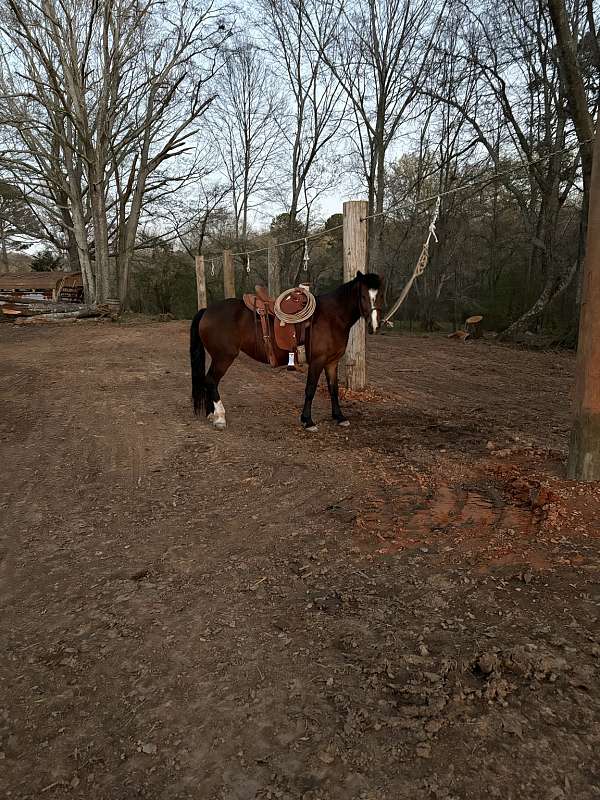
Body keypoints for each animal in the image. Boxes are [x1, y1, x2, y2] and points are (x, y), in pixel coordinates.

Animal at [189, 271, 383, 431]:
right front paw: (308, 421)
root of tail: (207, 310)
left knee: (208, 381)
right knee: (211, 381)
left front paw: (339, 417)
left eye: (379, 295)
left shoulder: (331, 362)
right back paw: (220, 418)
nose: (374, 326)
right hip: (223, 357)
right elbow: (310, 389)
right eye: (363, 295)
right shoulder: (318, 361)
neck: (331, 317)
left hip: (218, 357)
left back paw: (211, 414)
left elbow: (333, 389)